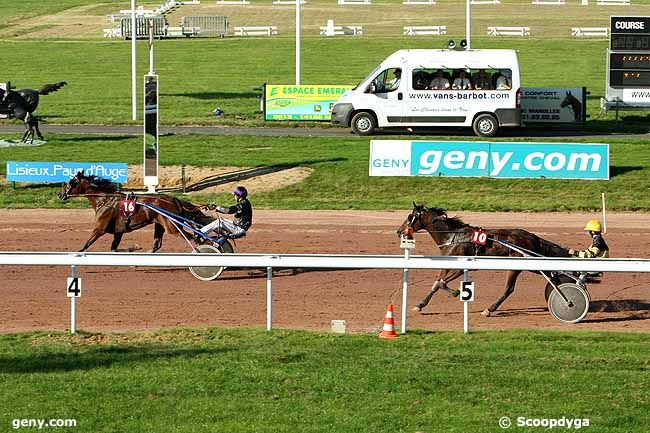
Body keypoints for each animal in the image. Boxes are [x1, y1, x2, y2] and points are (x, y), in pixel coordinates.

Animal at [57, 170, 210, 251]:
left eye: (71, 182)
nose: (60, 194)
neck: (104, 200)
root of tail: (174, 200)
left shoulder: (100, 229)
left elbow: (86, 245)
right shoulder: (118, 231)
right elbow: (114, 248)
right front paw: (133, 248)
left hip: (172, 227)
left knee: (195, 239)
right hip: (160, 224)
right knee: (157, 245)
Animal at [392, 204, 568, 316]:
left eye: (410, 216)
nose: (399, 231)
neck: (453, 236)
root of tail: (532, 236)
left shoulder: (463, 265)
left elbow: (442, 283)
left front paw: (456, 292)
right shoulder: (448, 263)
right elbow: (437, 283)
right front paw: (419, 305)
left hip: (518, 266)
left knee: (509, 289)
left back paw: (490, 309)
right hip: (530, 265)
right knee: (551, 276)